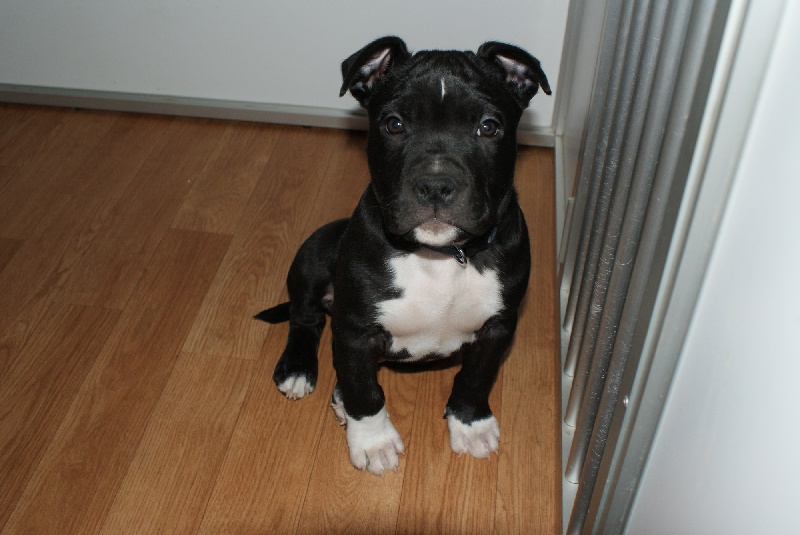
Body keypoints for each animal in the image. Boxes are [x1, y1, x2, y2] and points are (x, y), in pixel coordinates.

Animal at [256, 36, 550, 475]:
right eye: (394, 124)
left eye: (489, 126)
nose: (436, 184)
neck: (441, 254)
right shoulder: (356, 330)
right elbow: (365, 389)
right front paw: (373, 441)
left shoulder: (498, 325)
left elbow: (477, 376)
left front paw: (471, 423)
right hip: (315, 250)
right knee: (304, 318)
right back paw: (298, 369)